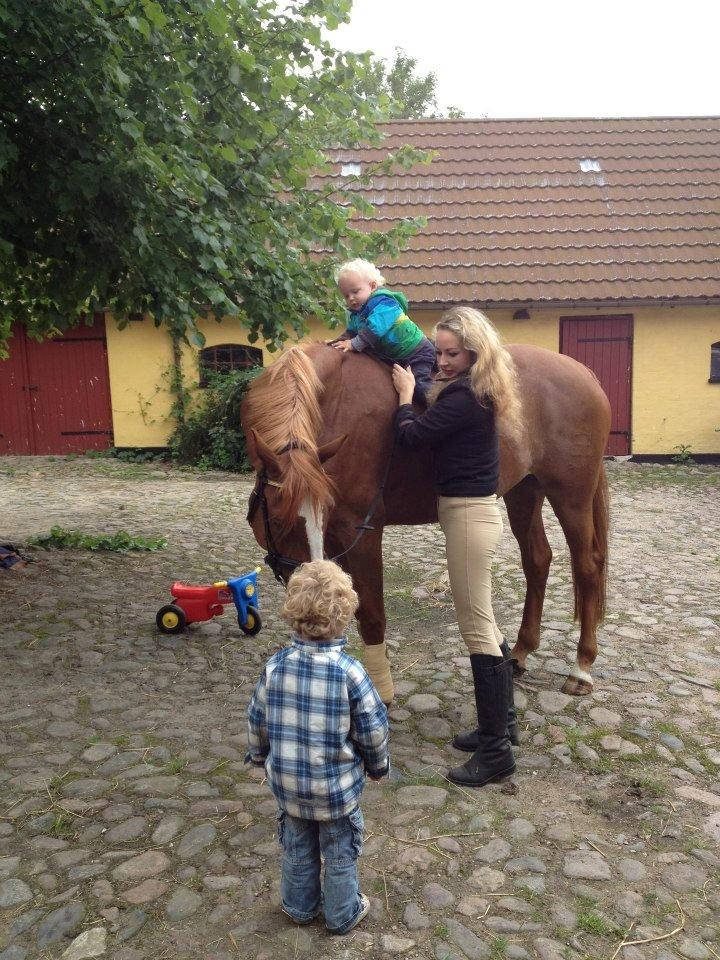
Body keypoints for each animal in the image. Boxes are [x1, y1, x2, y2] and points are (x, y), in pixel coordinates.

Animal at [240, 344, 608, 696]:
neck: (334, 400)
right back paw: (520, 651)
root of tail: (585, 373)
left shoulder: (361, 531)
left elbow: (371, 616)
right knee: (537, 560)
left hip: (571, 496)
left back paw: (581, 668)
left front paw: (381, 691)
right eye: (278, 519)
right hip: (524, 491)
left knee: (587, 566)